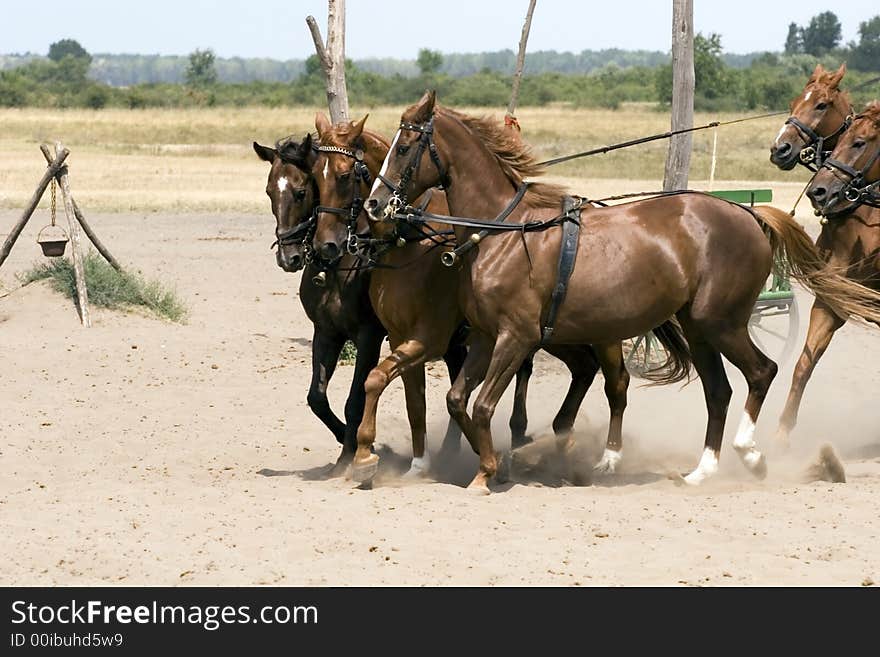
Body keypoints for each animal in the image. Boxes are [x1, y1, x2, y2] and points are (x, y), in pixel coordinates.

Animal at [310, 113, 624, 480]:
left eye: (345, 175)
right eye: (314, 176)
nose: (324, 245)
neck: (410, 246)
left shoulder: (426, 339)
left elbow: (375, 381)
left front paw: (365, 457)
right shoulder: (401, 337)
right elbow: (413, 402)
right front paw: (419, 464)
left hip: (601, 333)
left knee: (616, 384)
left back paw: (604, 456)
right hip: (555, 334)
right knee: (584, 368)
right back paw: (558, 443)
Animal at [366, 92, 880, 492]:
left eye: (405, 146)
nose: (374, 203)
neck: (505, 231)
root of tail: (750, 214)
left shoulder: (516, 337)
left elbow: (483, 404)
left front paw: (492, 470)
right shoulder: (485, 337)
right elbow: (458, 401)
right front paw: (495, 465)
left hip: (723, 322)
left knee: (763, 372)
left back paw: (750, 455)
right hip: (696, 327)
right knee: (718, 390)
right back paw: (702, 471)